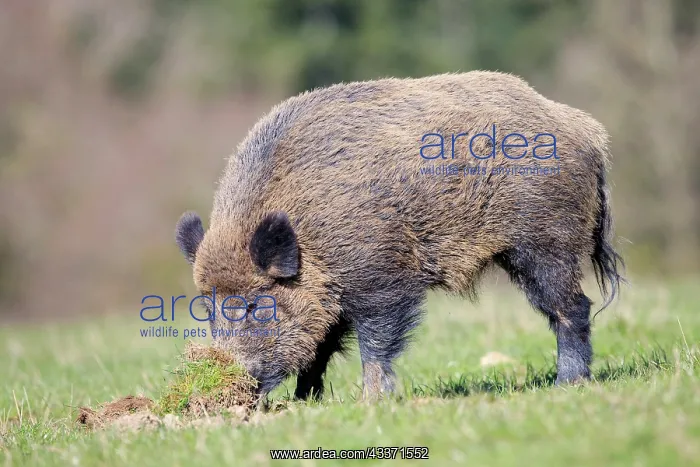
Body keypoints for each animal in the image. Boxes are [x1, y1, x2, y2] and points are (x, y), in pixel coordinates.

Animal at [175, 71, 624, 400]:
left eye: (256, 307)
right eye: (208, 308)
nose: (226, 378)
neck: (308, 233)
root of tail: (588, 133)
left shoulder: (381, 277)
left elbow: (375, 342)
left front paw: (372, 401)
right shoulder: (333, 294)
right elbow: (320, 348)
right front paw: (305, 402)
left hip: (546, 241)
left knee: (572, 307)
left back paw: (568, 383)